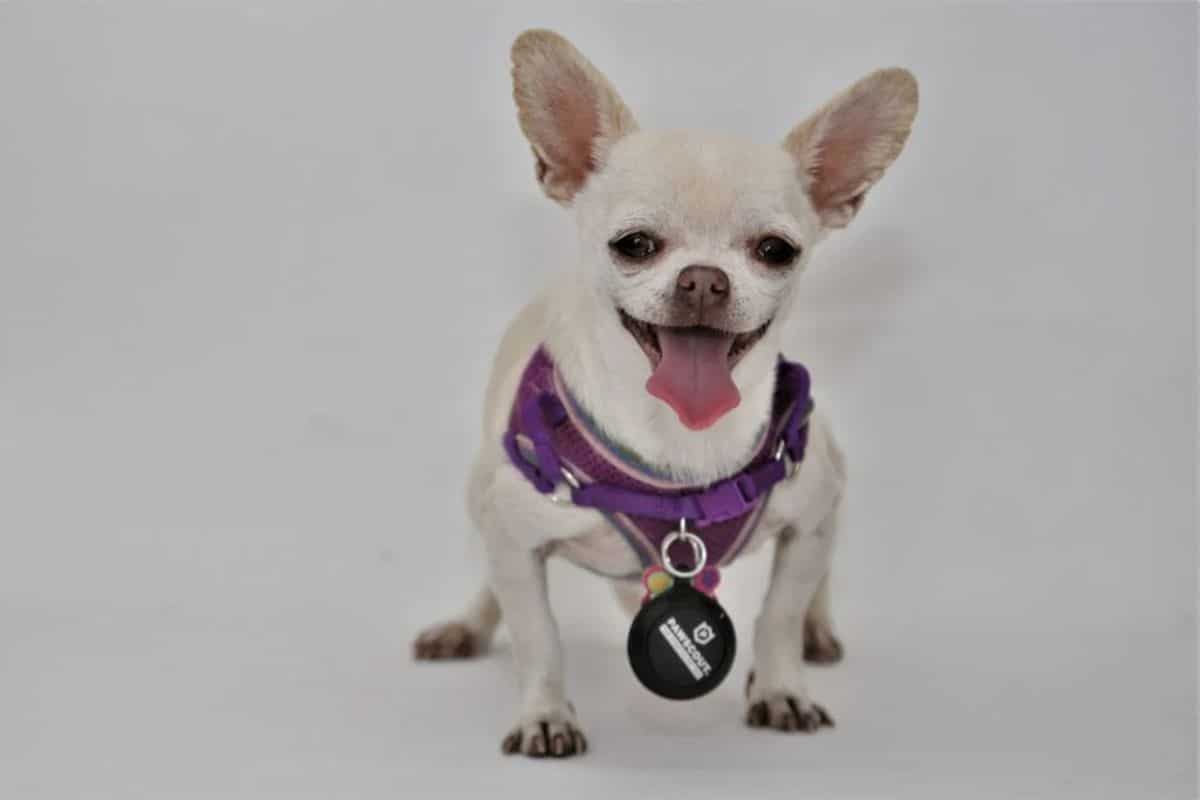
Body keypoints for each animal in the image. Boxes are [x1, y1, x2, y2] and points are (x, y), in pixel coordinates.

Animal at [415, 29, 916, 758]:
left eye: (776, 250)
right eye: (634, 245)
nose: (703, 278)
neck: (682, 440)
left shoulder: (808, 519)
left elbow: (778, 613)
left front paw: (780, 687)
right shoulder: (514, 538)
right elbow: (540, 639)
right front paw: (546, 713)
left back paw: (818, 632)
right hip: (485, 492)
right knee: (493, 580)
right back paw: (467, 626)